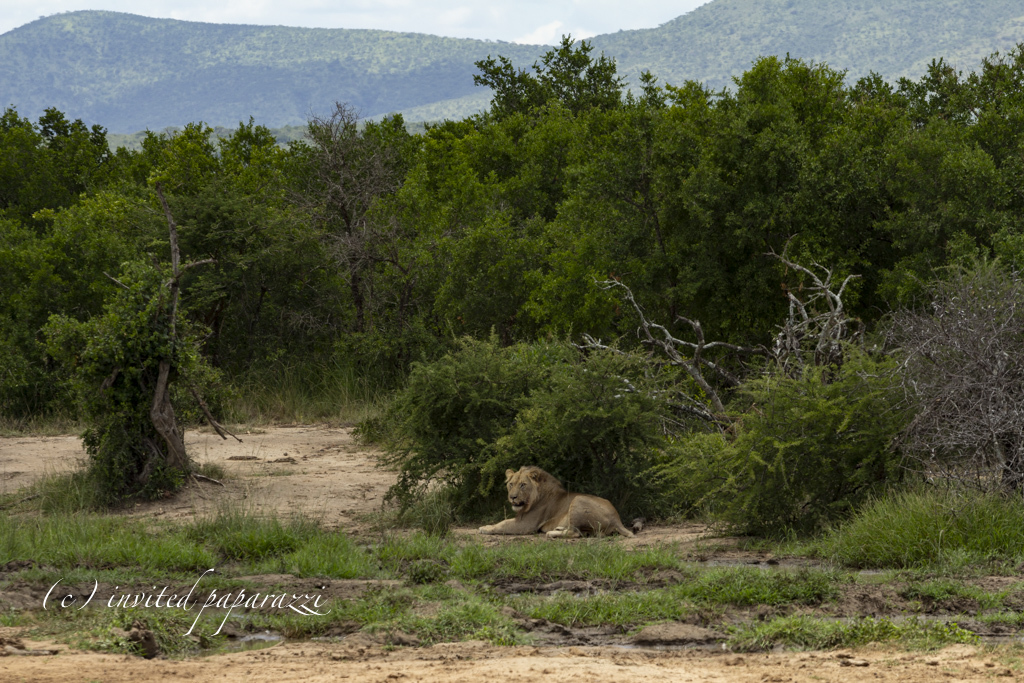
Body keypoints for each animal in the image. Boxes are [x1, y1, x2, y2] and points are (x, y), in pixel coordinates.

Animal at [477, 464, 630, 540]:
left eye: (523, 485)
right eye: (511, 484)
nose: (512, 497)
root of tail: (617, 519)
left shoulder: (526, 524)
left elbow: (503, 524)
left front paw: (485, 528)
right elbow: (501, 522)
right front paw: (487, 526)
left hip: (578, 499)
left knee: (575, 533)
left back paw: (551, 533)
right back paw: (558, 529)